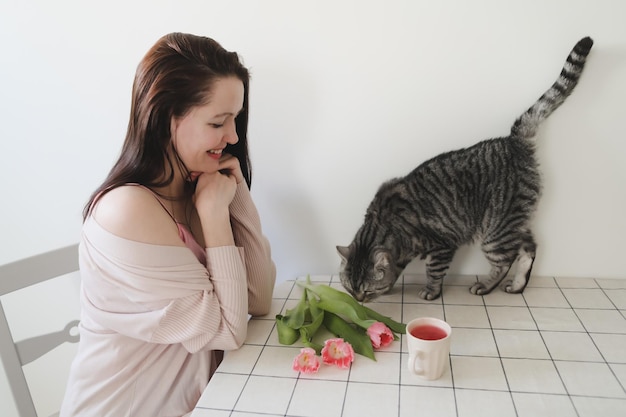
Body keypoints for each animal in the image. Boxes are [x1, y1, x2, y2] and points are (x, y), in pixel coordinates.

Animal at [336, 37, 588, 300]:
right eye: (350, 288)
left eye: (366, 290)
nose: (358, 300)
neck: (387, 225)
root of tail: (514, 141)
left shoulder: (442, 245)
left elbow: (434, 271)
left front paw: (431, 291)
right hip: (513, 222)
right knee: (529, 247)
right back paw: (518, 285)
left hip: (494, 233)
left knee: (504, 261)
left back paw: (486, 285)